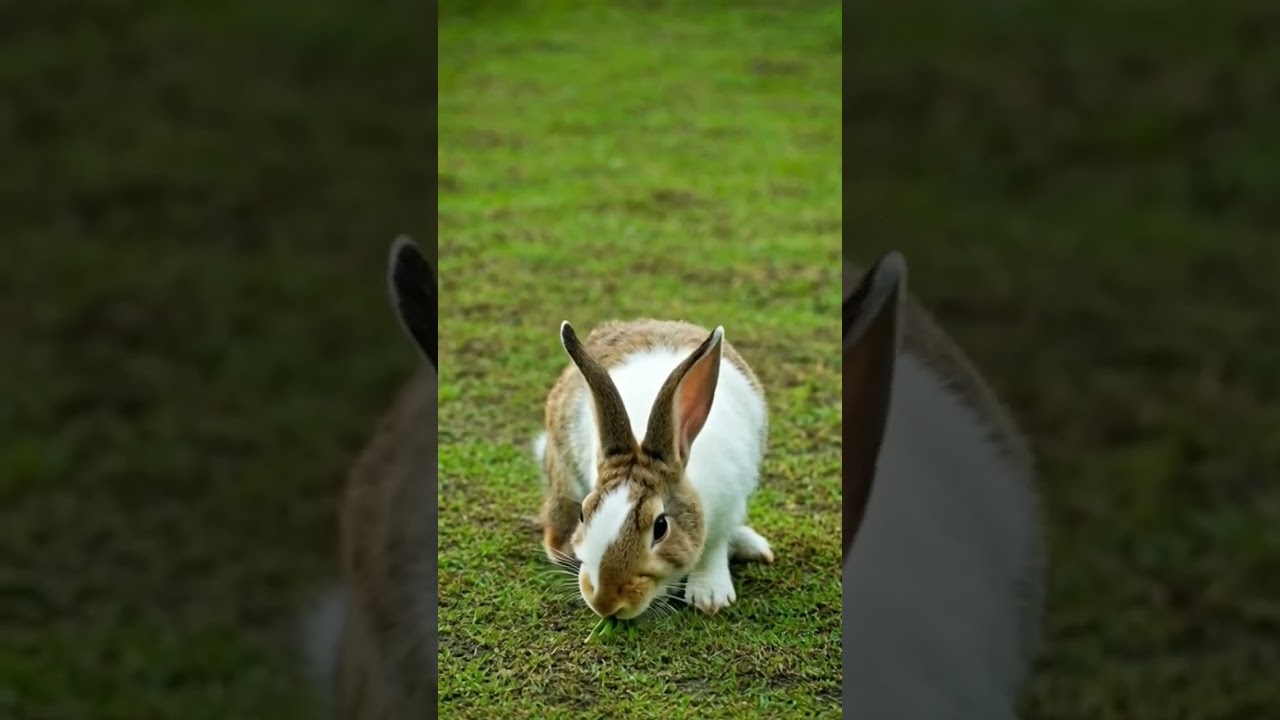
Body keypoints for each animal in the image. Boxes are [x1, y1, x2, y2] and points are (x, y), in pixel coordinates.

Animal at [534, 318, 775, 617]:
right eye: (584, 514)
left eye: (661, 527)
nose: (604, 603)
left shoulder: (730, 504)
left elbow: (714, 548)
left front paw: (710, 596)